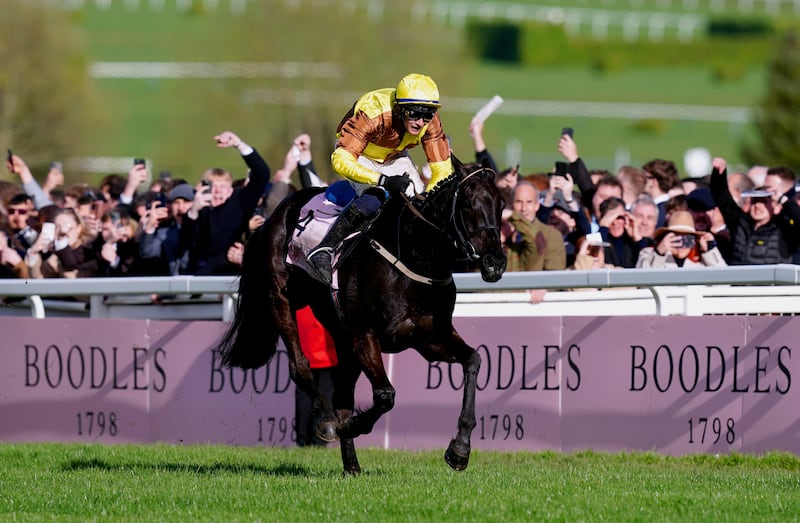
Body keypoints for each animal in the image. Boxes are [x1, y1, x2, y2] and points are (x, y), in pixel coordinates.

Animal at [217, 156, 506, 474]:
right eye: (467, 204)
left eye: (501, 204)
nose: (495, 263)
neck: (415, 256)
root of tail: (275, 215)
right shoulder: (365, 336)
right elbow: (385, 396)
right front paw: (350, 424)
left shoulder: (430, 338)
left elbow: (473, 360)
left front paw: (460, 449)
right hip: (280, 299)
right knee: (300, 367)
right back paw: (328, 420)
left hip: (341, 337)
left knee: (342, 394)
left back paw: (351, 466)